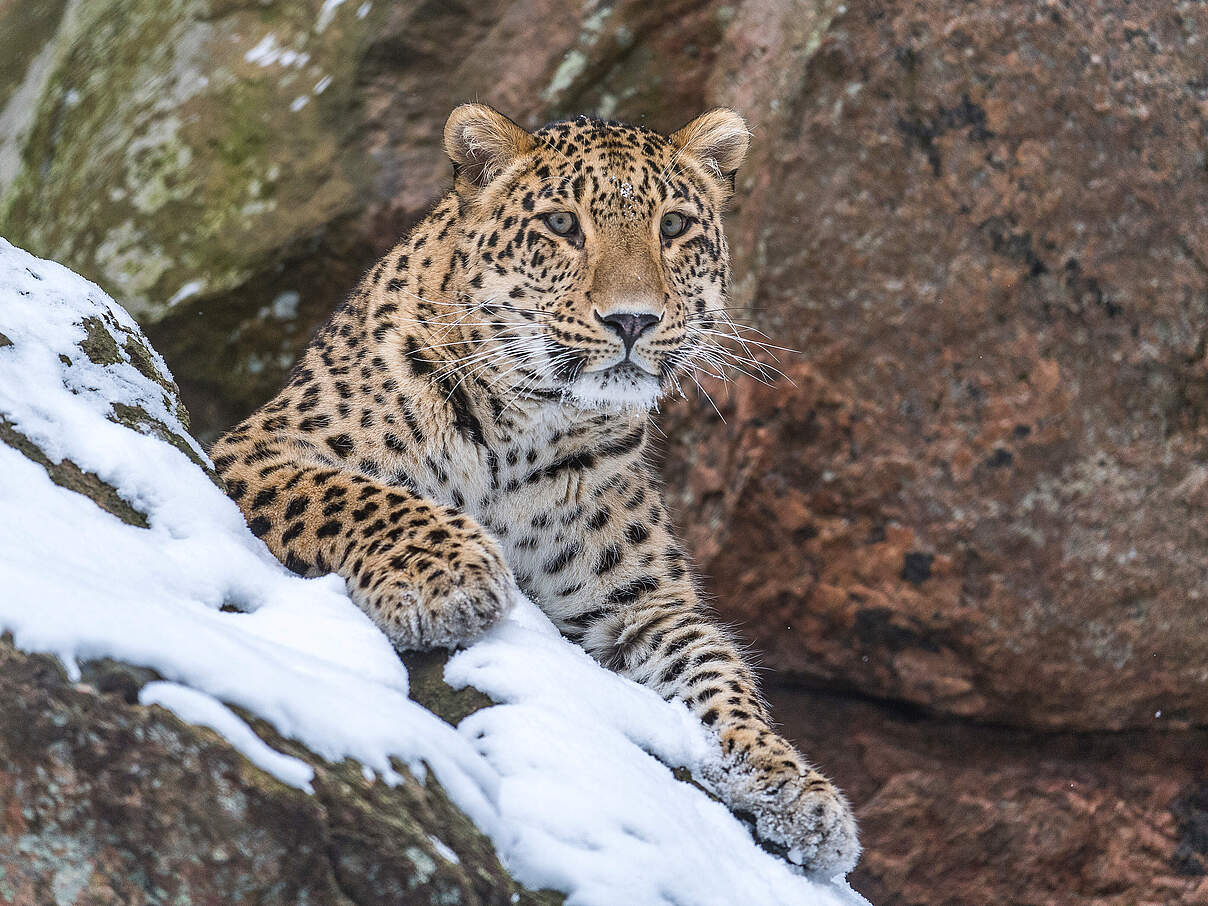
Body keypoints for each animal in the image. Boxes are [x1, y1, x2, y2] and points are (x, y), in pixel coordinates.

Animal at [210, 103, 859, 875]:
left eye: (673, 227)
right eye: (561, 225)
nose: (633, 319)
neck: (529, 427)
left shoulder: (637, 607)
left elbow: (717, 672)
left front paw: (795, 788)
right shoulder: (260, 451)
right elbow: (364, 497)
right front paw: (449, 578)